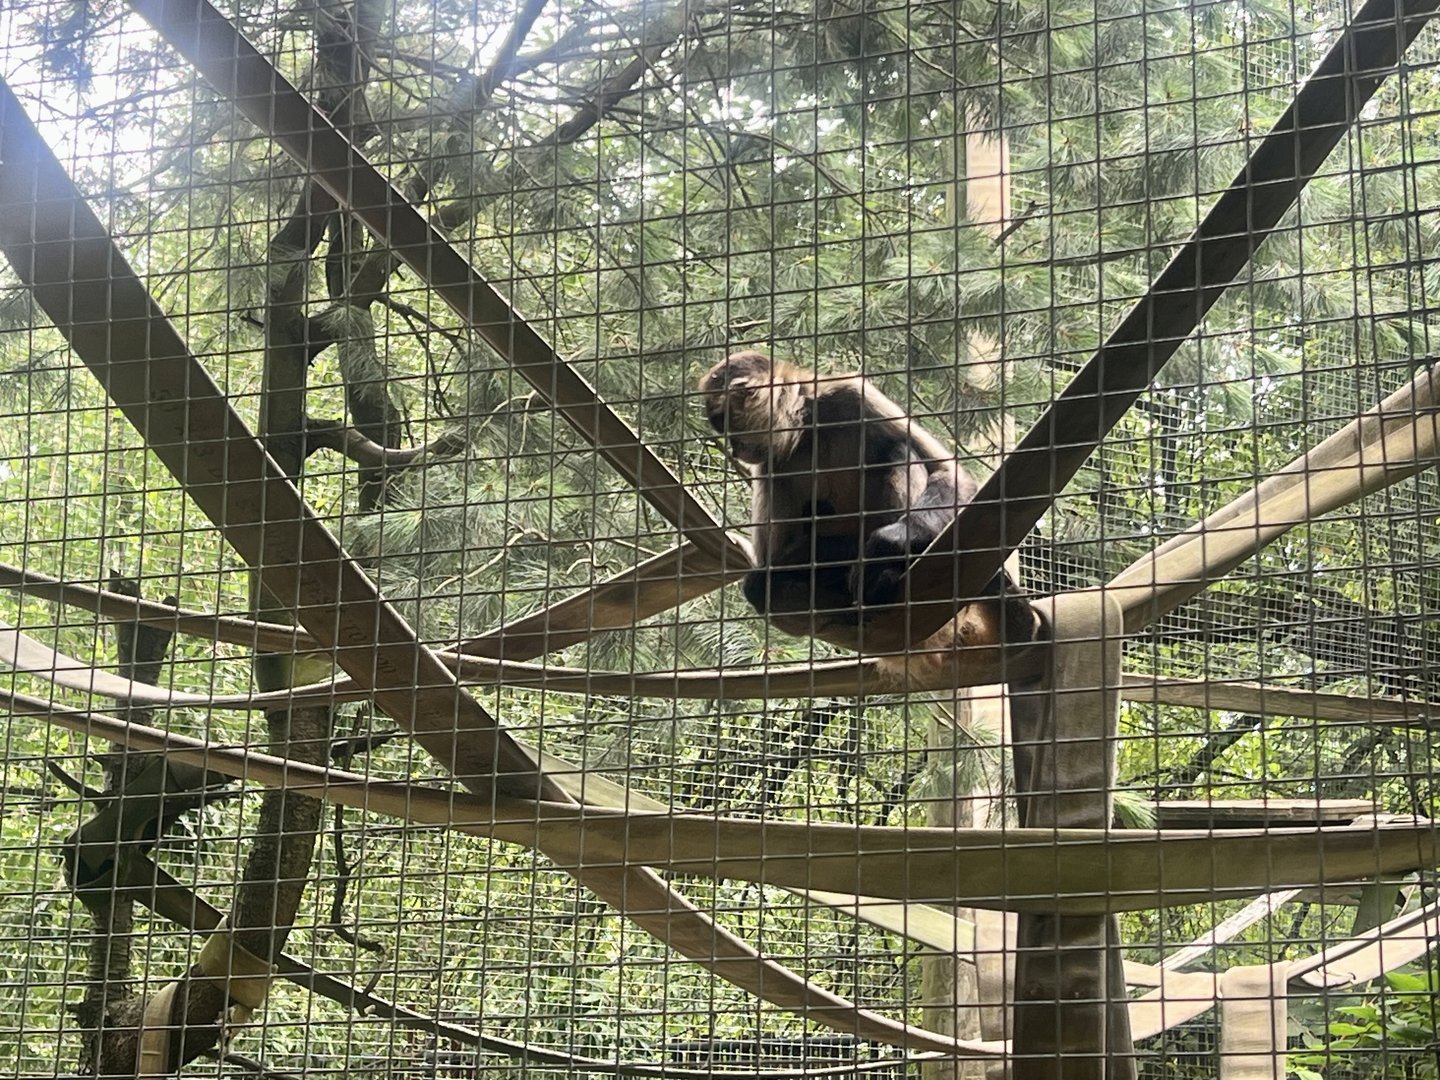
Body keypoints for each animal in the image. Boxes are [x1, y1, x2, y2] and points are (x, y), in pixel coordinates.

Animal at [699, 350, 1038, 686]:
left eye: (726, 423)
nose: (733, 448)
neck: (809, 430)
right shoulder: (770, 463)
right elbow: (770, 565)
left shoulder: (850, 394)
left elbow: (949, 474)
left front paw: (889, 543)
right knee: (762, 586)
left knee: (899, 450)